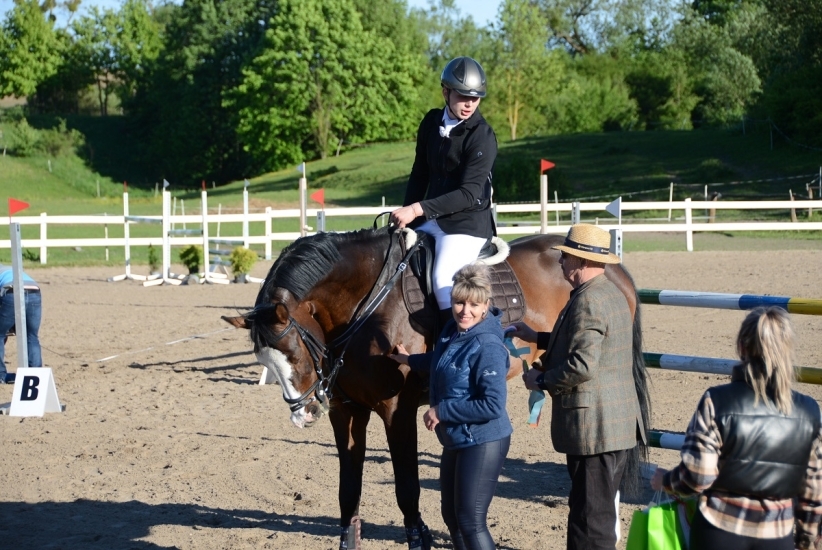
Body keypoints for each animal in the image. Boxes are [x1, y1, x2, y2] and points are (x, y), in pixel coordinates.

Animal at [222, 226, 650, 550]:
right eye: (265, 363)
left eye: (294, 352)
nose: (305, 413)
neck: (365, 307)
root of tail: (615, 270)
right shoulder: (346, 412)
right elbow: (349, 487)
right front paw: (348, 538)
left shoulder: (396, 411)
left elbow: (407, 485)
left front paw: (419, 537)